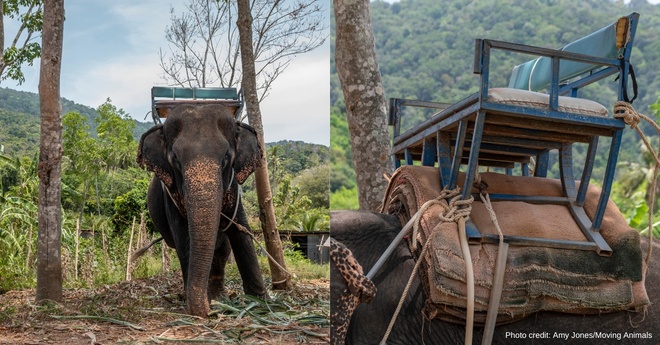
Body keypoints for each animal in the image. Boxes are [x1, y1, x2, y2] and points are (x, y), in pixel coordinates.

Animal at [138, 103, 266, 316]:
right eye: (176, 159)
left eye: (226, 158)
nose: (208, 312)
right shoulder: (170, 196)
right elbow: (184, 239)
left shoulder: (234, 191)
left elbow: (241, 233)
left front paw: (262, 303)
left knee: (222, 251)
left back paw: (220, 298)